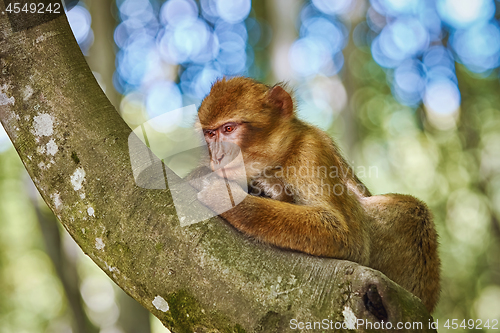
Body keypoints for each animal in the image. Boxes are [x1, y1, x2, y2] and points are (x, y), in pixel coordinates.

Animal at [188, 76, 442, 312]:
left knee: (411, 208)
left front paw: (225, 197)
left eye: (228, 129)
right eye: (210, 134)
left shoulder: (311, 151)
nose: (217, 156)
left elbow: (347, 237)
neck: (281, 158)